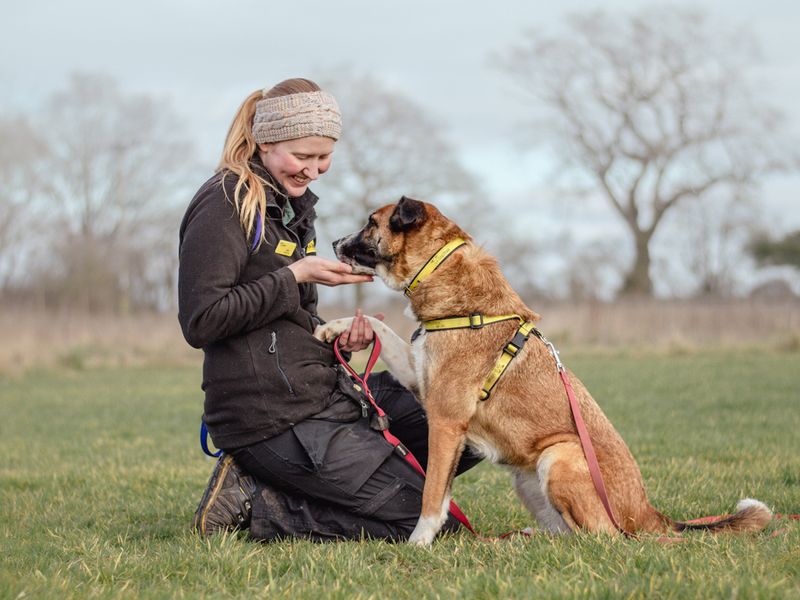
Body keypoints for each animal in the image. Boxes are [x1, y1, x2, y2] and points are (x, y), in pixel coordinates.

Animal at [314, 196, 776, 544]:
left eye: (370, 222)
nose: (332, 241)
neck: (447, 279)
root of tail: (648, 515)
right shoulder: (418, 378)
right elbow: (379, 326)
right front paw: (335, 327)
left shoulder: (445, 422)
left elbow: (432, 497)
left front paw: (418, 544)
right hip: (529, 478)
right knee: (568, 535)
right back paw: (525, 540)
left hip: (561, 456)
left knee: (603, 538)